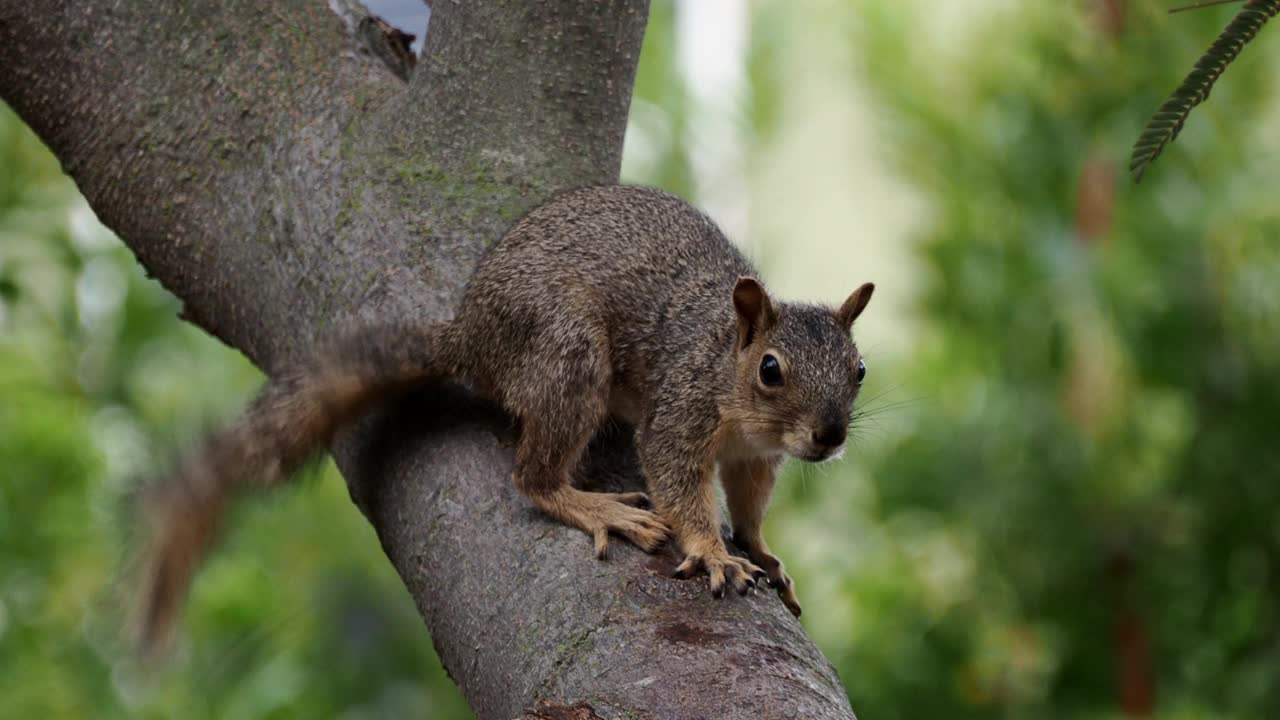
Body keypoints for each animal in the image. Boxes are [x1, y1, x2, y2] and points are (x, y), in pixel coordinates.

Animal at [142, 183, 880, 650]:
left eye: (860, 370)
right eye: (771, 370)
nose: (829, 436)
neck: (729, 372)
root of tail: (471, 336)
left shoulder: (759, 459)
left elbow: (751, 504)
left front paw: (760, 549)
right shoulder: (680, 409)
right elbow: (676, 479)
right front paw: (713, 552)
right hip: (568, 352)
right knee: (532, 477)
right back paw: (594, 506)